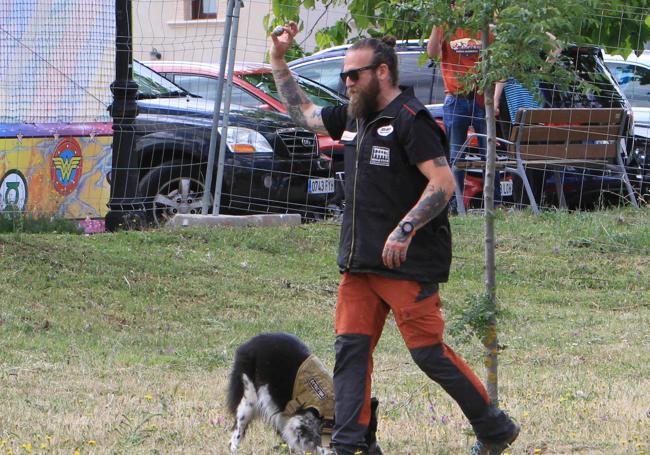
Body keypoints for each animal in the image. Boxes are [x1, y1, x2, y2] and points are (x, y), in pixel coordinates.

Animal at [227, 334, 380, 454]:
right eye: (368, 435)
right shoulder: (298, 422)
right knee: (237, 431)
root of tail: (249, 343)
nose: (379, 452)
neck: (330, 410)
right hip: (248, 399)